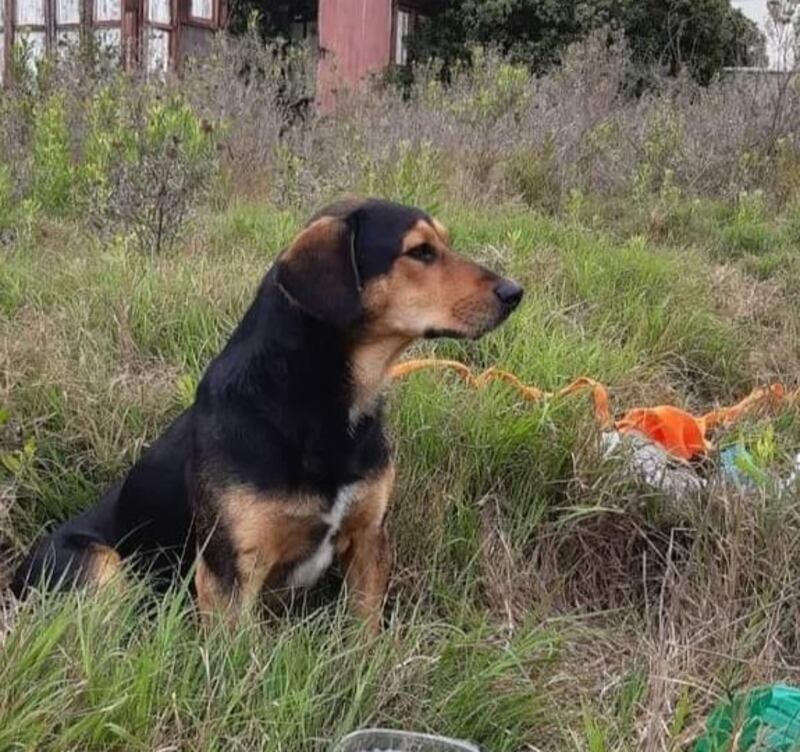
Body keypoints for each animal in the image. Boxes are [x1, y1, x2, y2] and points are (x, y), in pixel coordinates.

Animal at [14, 198, 524, 628]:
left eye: (444, 243)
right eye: (420, 252)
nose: (515, 292)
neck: (325, 403)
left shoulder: (368, 540)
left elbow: (366, 634)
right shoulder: (230, 573)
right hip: (102, 566)